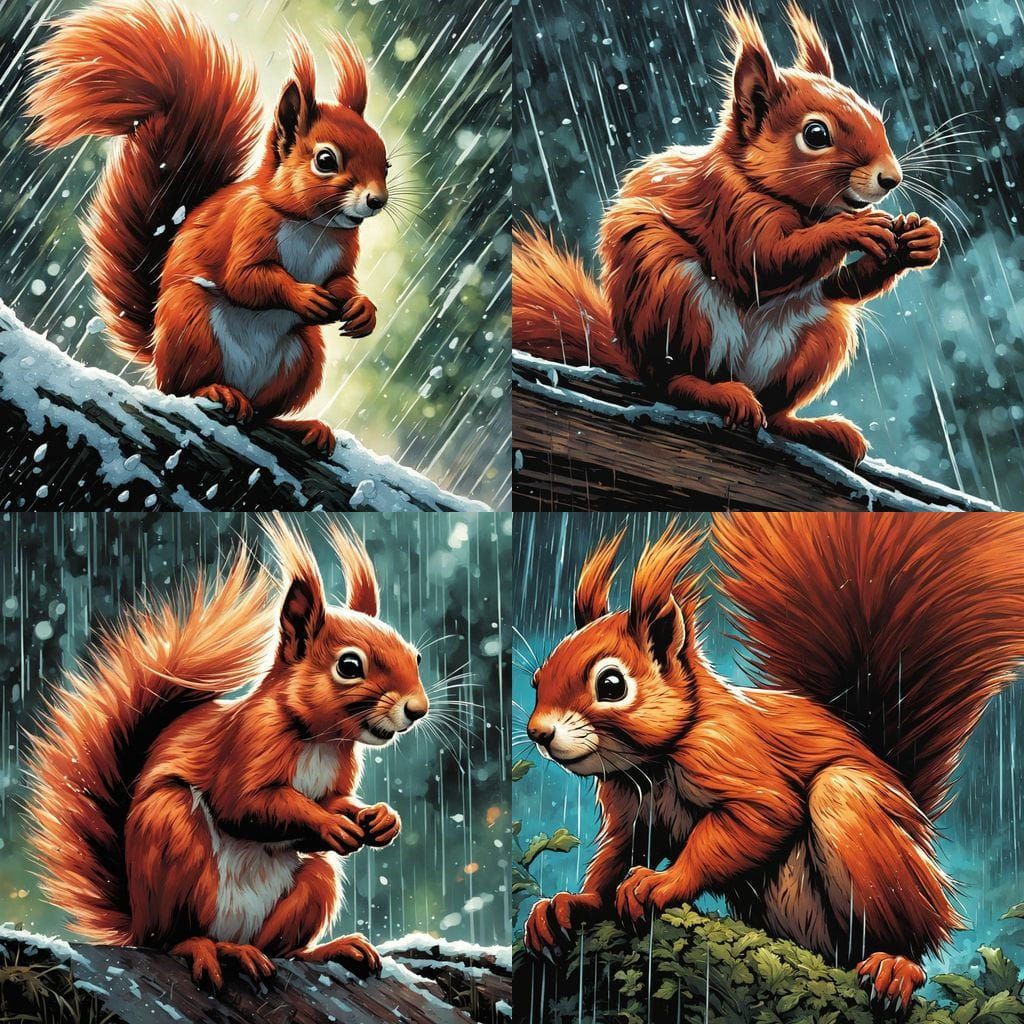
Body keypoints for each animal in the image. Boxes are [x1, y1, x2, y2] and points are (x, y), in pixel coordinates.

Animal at [26, 0, 391, 457]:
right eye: (326, 160)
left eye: (386, 163)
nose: (377, 200)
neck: (313, 226)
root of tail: (157, 353)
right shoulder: (247, 228)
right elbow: (246, 279)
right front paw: (302, 295)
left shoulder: (343, 252)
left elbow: (343, 283)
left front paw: (363, 310)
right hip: (192, 323)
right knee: (183, 389)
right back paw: (216, 392)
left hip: (303, 357)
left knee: (265, 413)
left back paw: (302, 425)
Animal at [26, 513, 428, 987]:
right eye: (349, 666)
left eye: (416, 657)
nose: (417, 710)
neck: (321, 740)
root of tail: (137, 923)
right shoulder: (246, 743)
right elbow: (244, 804)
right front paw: (329, 825)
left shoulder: (335, 778)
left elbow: (335, 800)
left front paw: (380, 819)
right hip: (171, 836)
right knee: (173, 938)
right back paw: (207, 949)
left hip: (312, 885)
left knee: (280, 946)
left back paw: (320, 949)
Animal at [512, 4, 942, 465]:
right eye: (816, 135)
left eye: (875, 116)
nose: (891, 178)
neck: (793, 204)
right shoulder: (725, 207)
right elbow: (761, 263)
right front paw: (852, 227)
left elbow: (837, 285)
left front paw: (920, 242)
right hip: (672, 293)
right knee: (670, 381)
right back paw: (714, 392)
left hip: (823, 332)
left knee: (775, 412)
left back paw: (817, 429)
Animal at [523, 513, 1024, 1015]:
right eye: (536, 680)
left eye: (611, 685)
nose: (538, 733)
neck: (651, 764)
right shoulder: (631, 811)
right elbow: (616, 856)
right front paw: (571, 903)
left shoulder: (731, 754)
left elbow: (761, 817)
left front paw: (661, 883)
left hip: (862, 826)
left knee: (908, 931)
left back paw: (896, 963)